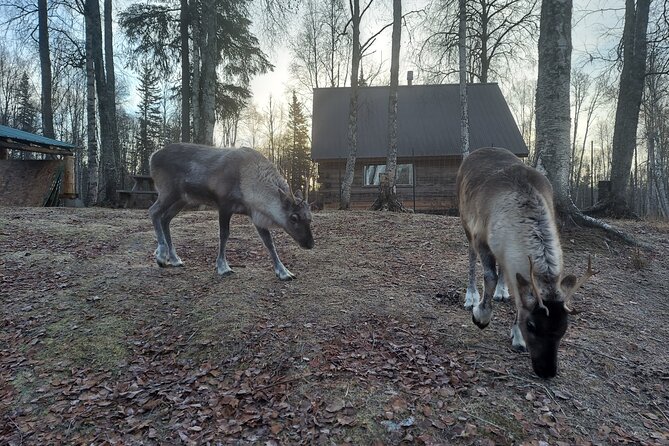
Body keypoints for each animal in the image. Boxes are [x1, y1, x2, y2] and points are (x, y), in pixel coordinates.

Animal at [148, 143, 314, 281]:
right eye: (293, 217)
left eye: (310, 218)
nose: (310, 243)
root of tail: (152, 156)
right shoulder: (224, 205)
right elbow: (224, 235)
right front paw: (223, 266)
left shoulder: (255, 214)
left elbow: (269, 243)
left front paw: (284, 272)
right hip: (168, 191)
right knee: (153, 212)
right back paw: (161, 255)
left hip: (182, 199)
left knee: (165, 219)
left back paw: (174, 259)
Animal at [456, 147, 596, 379]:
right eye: (531, 325)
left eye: (564, 328)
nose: (547, 371)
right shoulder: (480, 237)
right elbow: (489, 276)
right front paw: (481, 315)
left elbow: (517, 291)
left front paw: (517, 337)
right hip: (465, 221)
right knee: (471, 257)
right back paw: (470, 296)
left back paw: (501, 291)